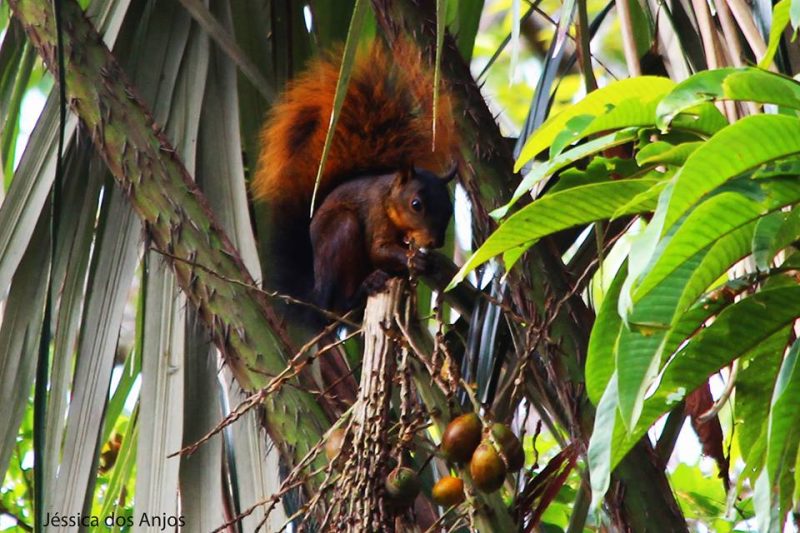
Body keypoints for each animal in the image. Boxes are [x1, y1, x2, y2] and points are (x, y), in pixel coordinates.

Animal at [253, 42, 460, 316]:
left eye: (450, 210)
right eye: (416, 204)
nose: (436, 241)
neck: (389, 200)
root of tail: (314, 298)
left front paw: (428, 261)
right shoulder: (375, 214)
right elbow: (378, 249)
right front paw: (414, 259)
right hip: (342, 232)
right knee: (339, 303)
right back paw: (362, 290)